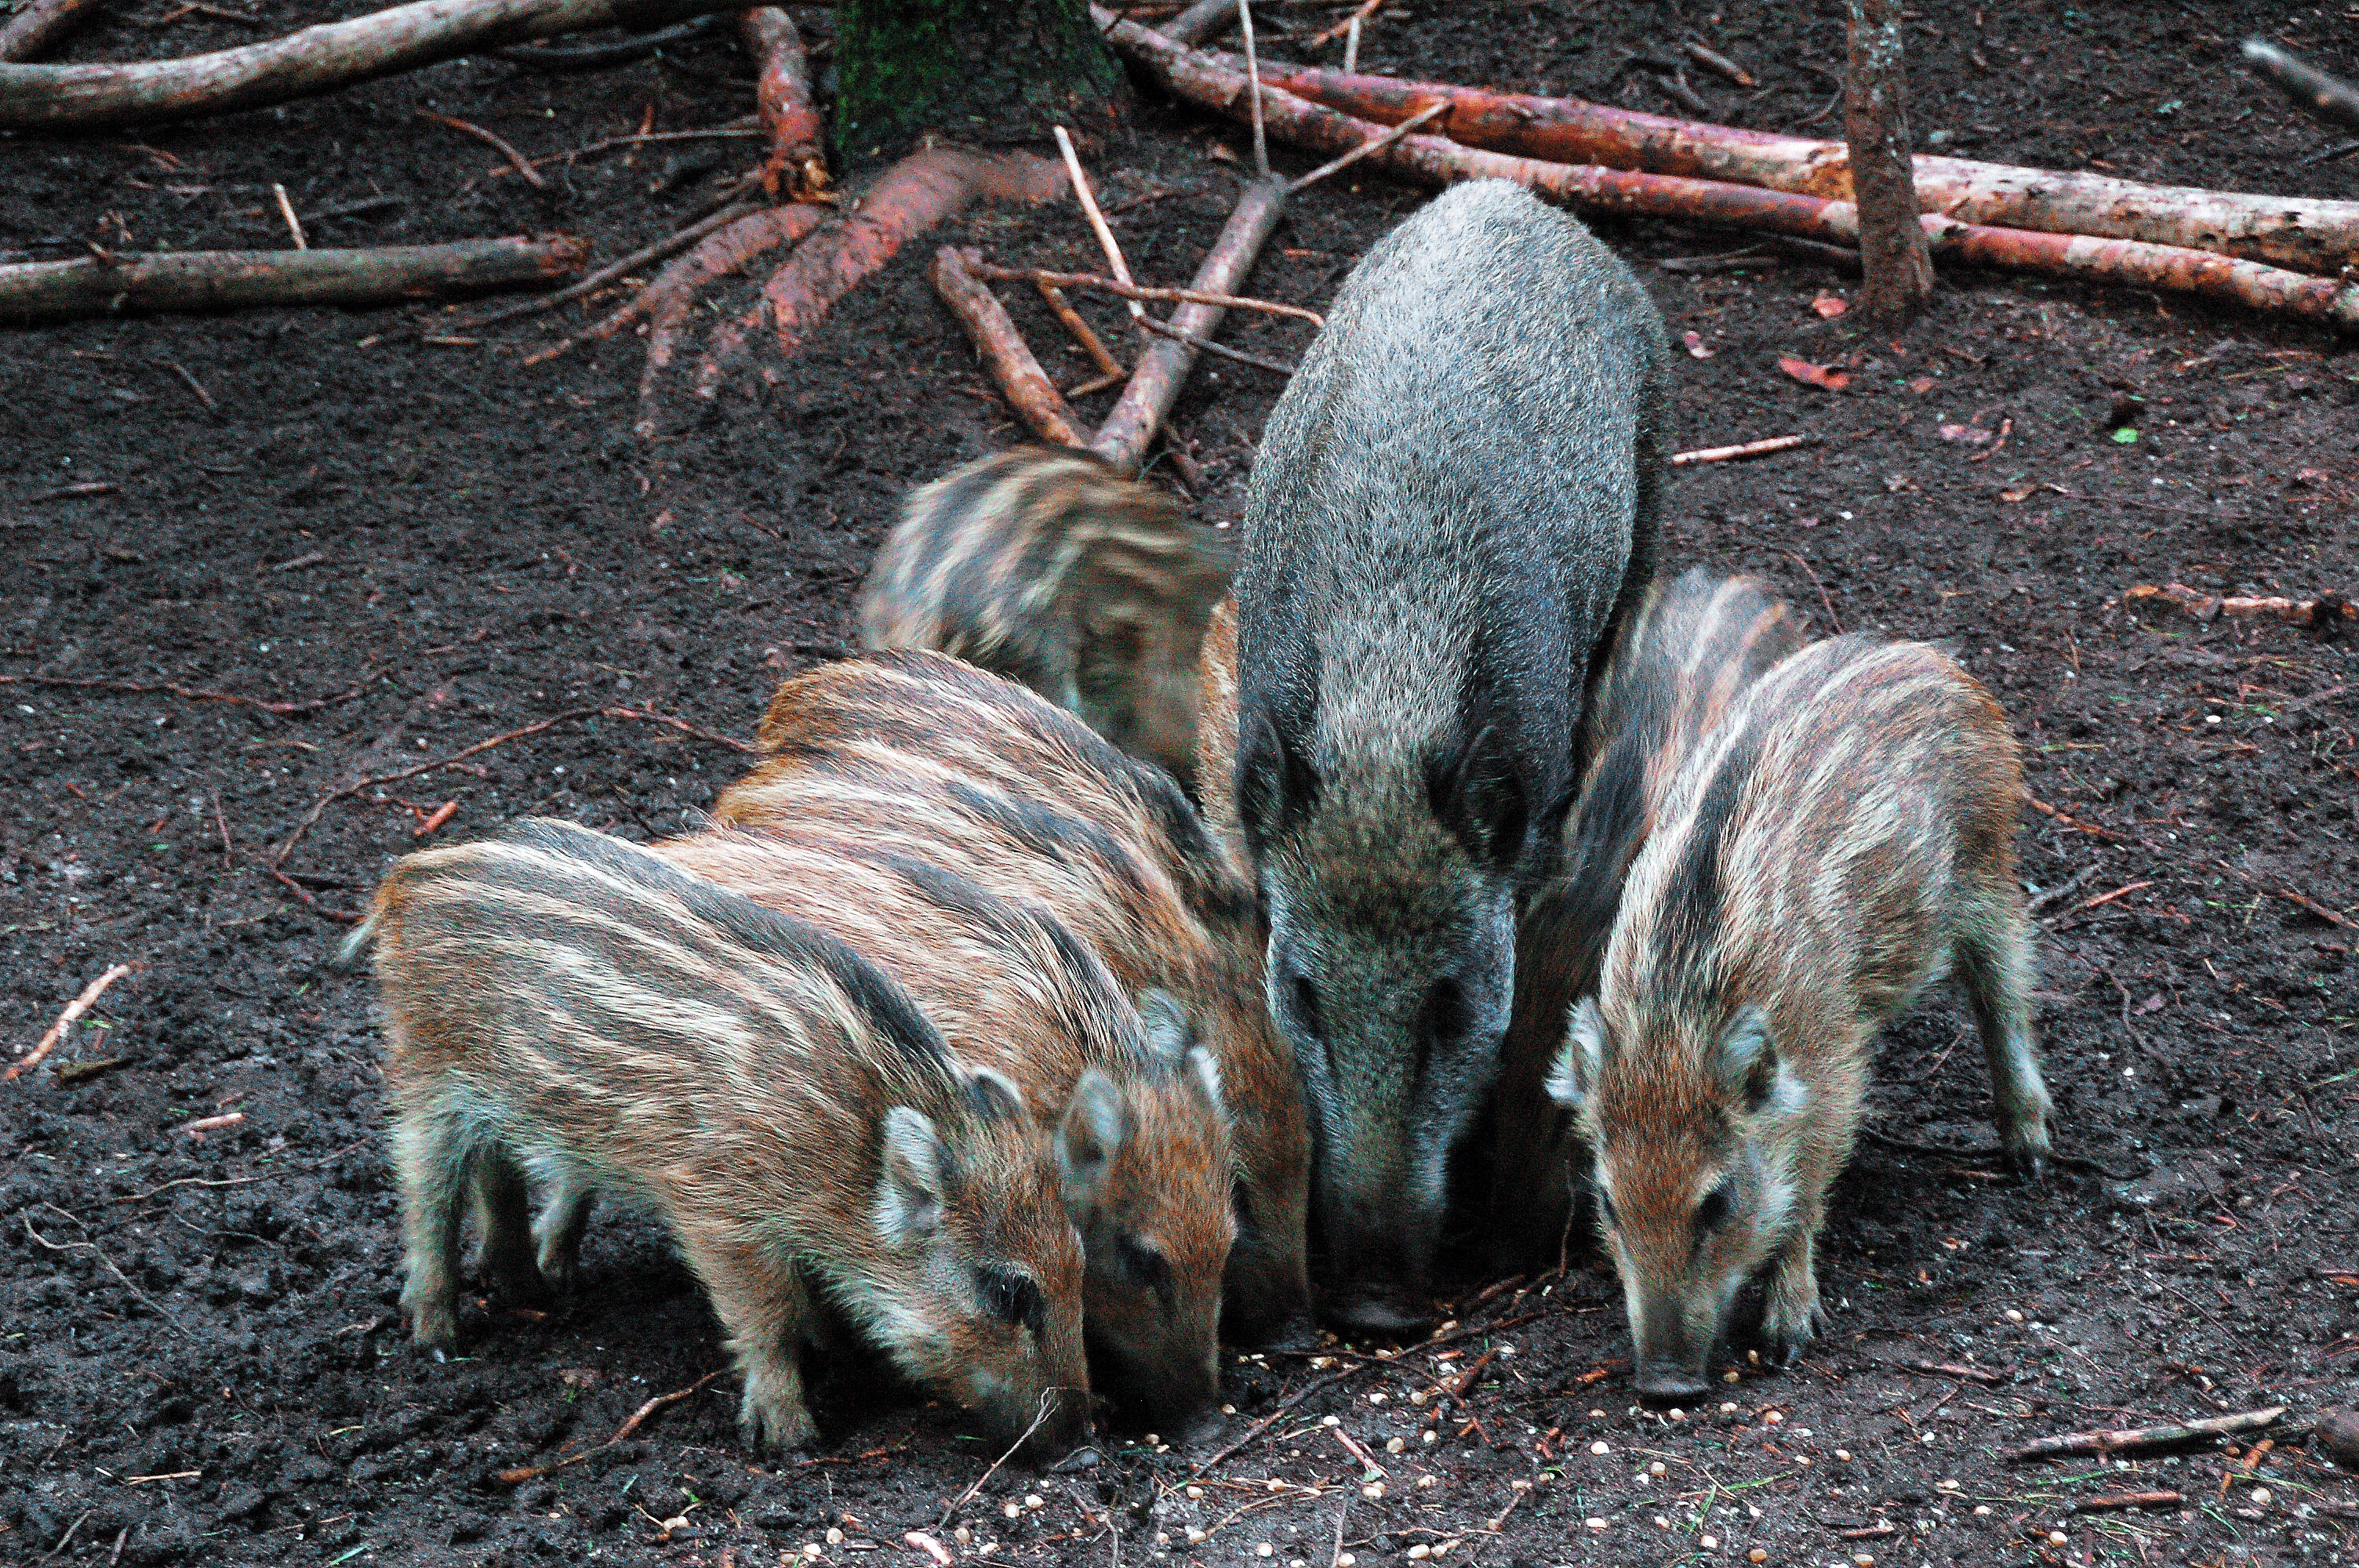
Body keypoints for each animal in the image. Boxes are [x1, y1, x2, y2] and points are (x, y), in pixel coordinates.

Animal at [342, 817, 1092, 1456]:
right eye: (1006, 1293)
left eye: (1079, 1262)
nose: (1082, 1441)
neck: (846, 1145)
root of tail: (403, 877)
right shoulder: (716, 1211)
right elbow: (767, 1314)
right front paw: (789, 1437)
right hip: (425, 1066)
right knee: (424, 1188)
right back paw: (438, 1334)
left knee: (496, 1172)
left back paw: (534, 1290)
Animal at [1546, 636, 2057, 1400]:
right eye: (1607, 1202)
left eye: (1718, 1202)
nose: (1666, 1386)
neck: (1675, 1015)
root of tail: (1934, 660)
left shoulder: (1831, 1066)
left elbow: (1805, 1189)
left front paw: (1788, 1334)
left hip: (1988, 865)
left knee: (2006, 993)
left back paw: (2029, 1153)